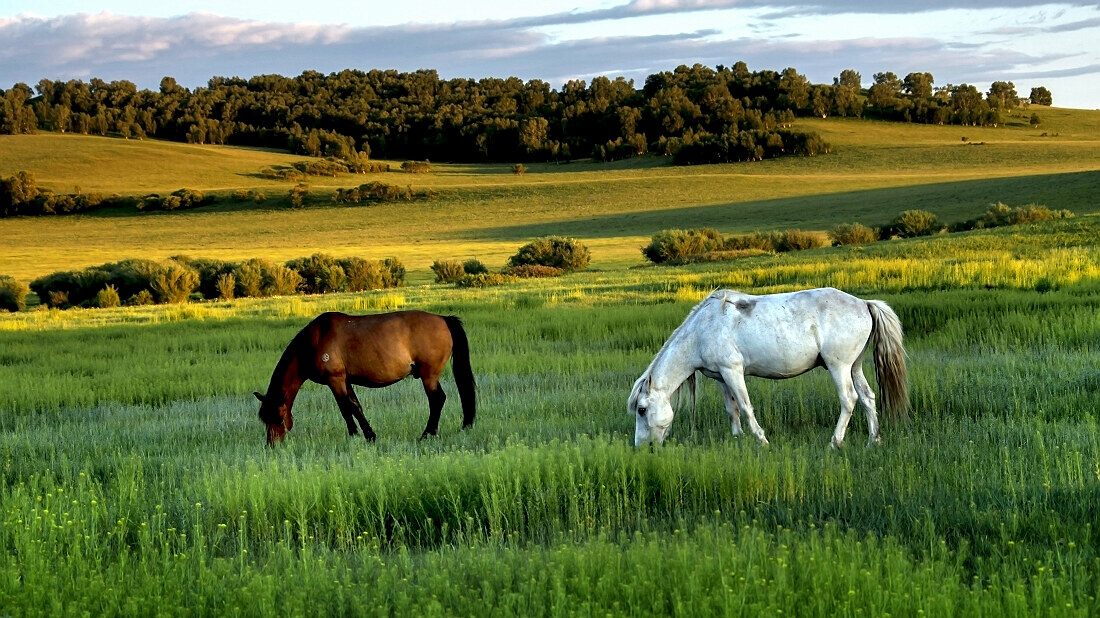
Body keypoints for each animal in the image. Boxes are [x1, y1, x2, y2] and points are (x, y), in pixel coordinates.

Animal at [253, 310, 477, 444]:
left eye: (278, 418)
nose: (272, 444)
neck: (314, 342)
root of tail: (444, 319)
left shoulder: (335, 380)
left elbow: (346, 408)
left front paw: (361, 435)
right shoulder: (345, 380)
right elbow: (354, 406)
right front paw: (364, 435)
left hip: (428, 375)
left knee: (437, 400)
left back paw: (427, 434)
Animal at [633, 285, 906, 444]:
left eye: (642, 410)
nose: (643, 447)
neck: (702, 330)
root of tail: (864, 303)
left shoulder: (733, 371)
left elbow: (745, 407)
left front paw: (761, 441)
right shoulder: (721, 377)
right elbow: (731, 409)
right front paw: (737, 439)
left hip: (838, 367)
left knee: (849, 399)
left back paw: (835, 442)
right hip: (854, 366)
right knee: (868, 397)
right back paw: (873, 440)